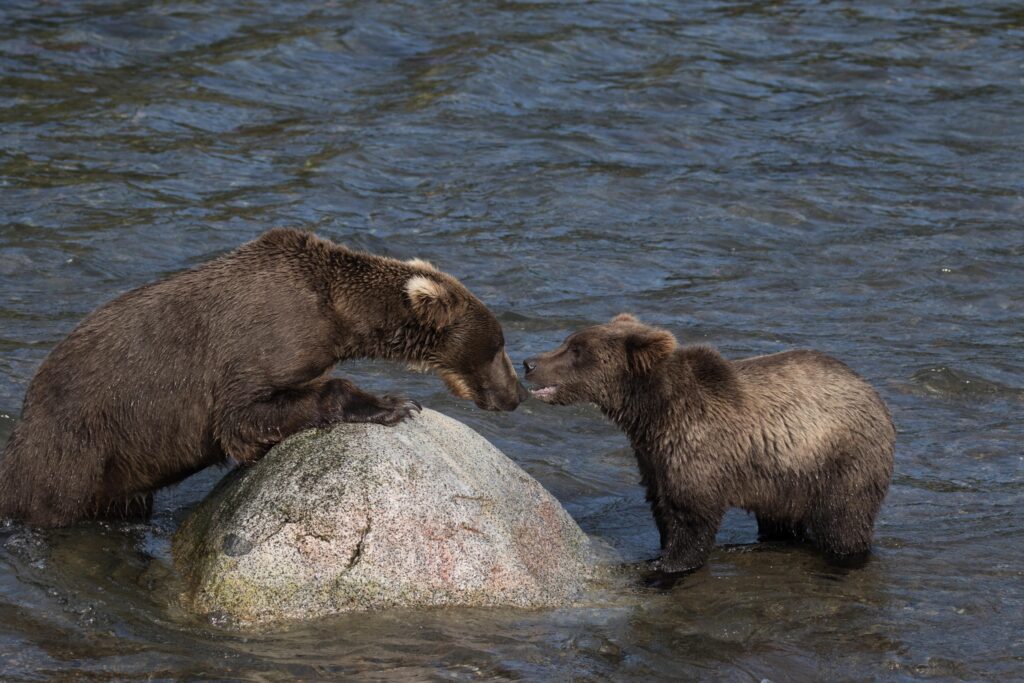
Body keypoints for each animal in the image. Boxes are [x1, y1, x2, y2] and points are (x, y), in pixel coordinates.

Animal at [0, 228, 527, 527]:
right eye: (498, 346)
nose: (515, 394)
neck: (339, 317)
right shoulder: (263, 342)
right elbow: (244, 415)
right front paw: (392, 404)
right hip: (77, 438)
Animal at [523, 314, 895, 573]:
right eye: (568, 341)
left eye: (577, 350)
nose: (529, 363)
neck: (652, 414)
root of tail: (871, 389)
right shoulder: (652, 457)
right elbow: (661, 505)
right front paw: (661, 551)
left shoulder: (697, 445)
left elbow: (691, 514)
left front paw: (668, 564)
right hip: (784, 479)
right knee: (780, 519)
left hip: (839, 459)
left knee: (844, 520)